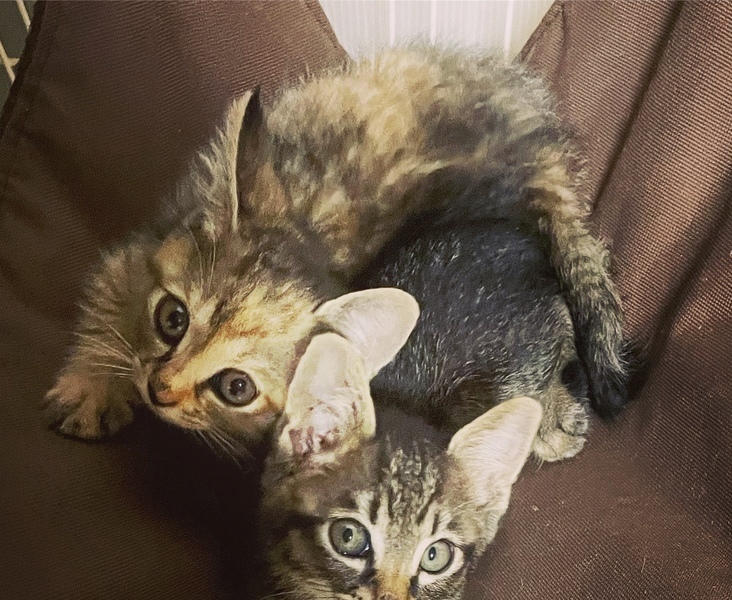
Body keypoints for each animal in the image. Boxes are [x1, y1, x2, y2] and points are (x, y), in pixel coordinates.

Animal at [45, 46, 626, 457]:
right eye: (172, 318)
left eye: (237, 387)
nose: (158, 388)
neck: (313, 230)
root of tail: (540, 154)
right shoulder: (146, 248)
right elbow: (111, 299)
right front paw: (93, 383)